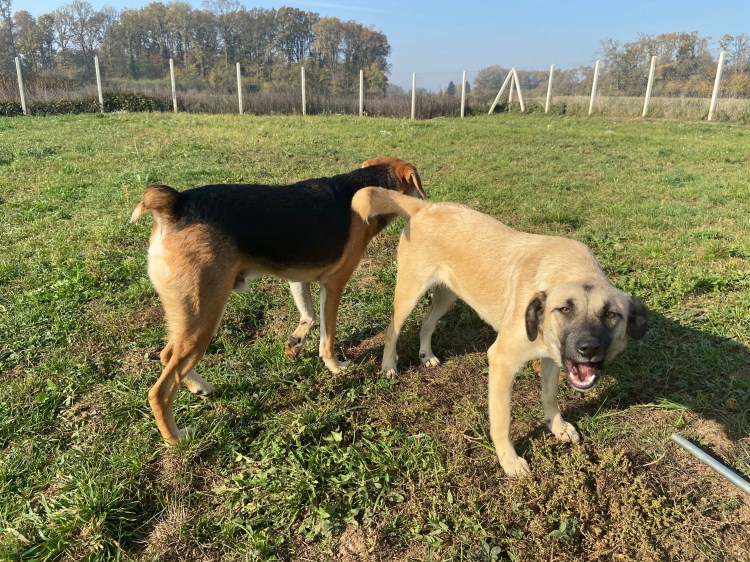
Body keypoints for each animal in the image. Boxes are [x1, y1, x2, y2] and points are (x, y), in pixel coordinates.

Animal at [130, 159, 425, 444]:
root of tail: (175, 203)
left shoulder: (298, 277)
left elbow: (309, 316)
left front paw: (296, 343)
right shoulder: (334, 284)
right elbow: (327, 337)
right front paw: (334, 367)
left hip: (191, 316)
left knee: (166, 354)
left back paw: (199, 387)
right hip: (204, 317)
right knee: (160, 391)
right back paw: (175, 439)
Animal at [351, 187, 648, 476]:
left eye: (611, 315)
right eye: (564, 309)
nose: (588, 349)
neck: (570, 271)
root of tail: (427, 207)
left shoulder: (552, 357)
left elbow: (550, 396)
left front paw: (557, 427)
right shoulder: (502, 361)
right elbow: (502, 422)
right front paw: (510, 462)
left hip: (448, 295)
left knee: (427, 322)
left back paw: (426, 355)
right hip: (409, 293)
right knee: (393, 329)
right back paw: (389, 366)